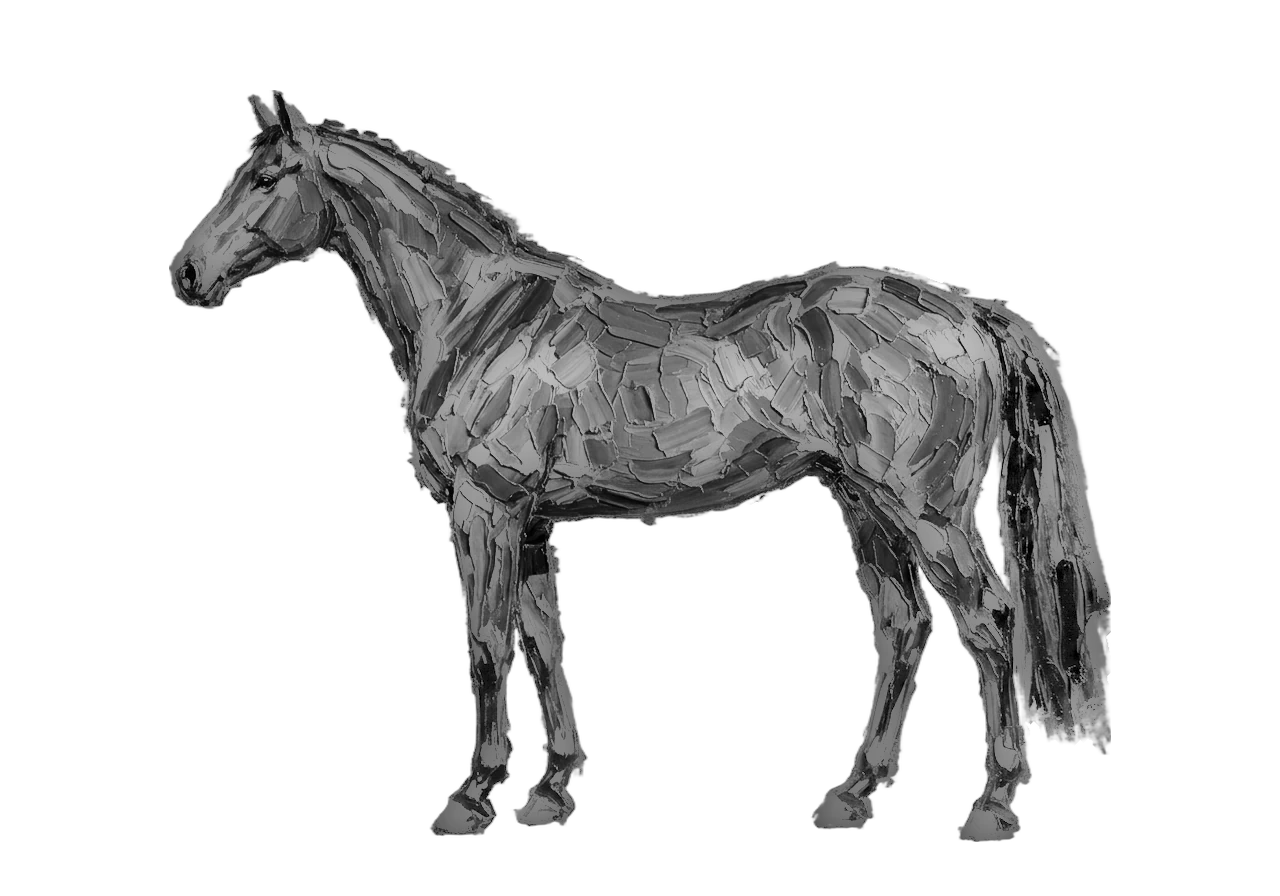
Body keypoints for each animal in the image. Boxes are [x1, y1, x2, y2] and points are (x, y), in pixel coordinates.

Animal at [174, 94, 1107, 836]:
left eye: (267, 176)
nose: (186, 272)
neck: (479, 316)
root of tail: (974, 317)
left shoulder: (487, 511)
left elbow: (487, 642)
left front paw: (471, 800)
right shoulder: (531, 525)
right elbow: (541, 641)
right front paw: (550, 794)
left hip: (928, 511)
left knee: (989, 623)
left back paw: (992, 807)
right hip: (866, 503)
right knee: (907, 625)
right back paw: (855, 793)